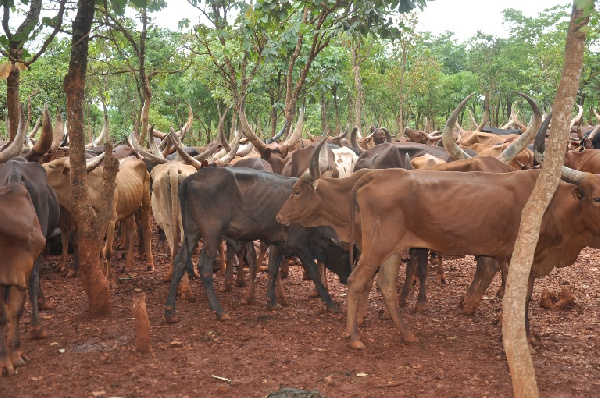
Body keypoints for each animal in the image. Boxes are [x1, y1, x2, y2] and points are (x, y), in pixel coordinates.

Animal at [164, 166, 352, 322]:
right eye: (345, 256)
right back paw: (218, 311)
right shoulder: (299, 243)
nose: (348, 277)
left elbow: (273, 269)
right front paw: (330, 303)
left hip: (192, 231)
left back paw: (170, 311)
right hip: (212, 234)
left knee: (180, 263)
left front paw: (272, 301)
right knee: (204, 266)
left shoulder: (277, 241)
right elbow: (313, 272)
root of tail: (193, 176)